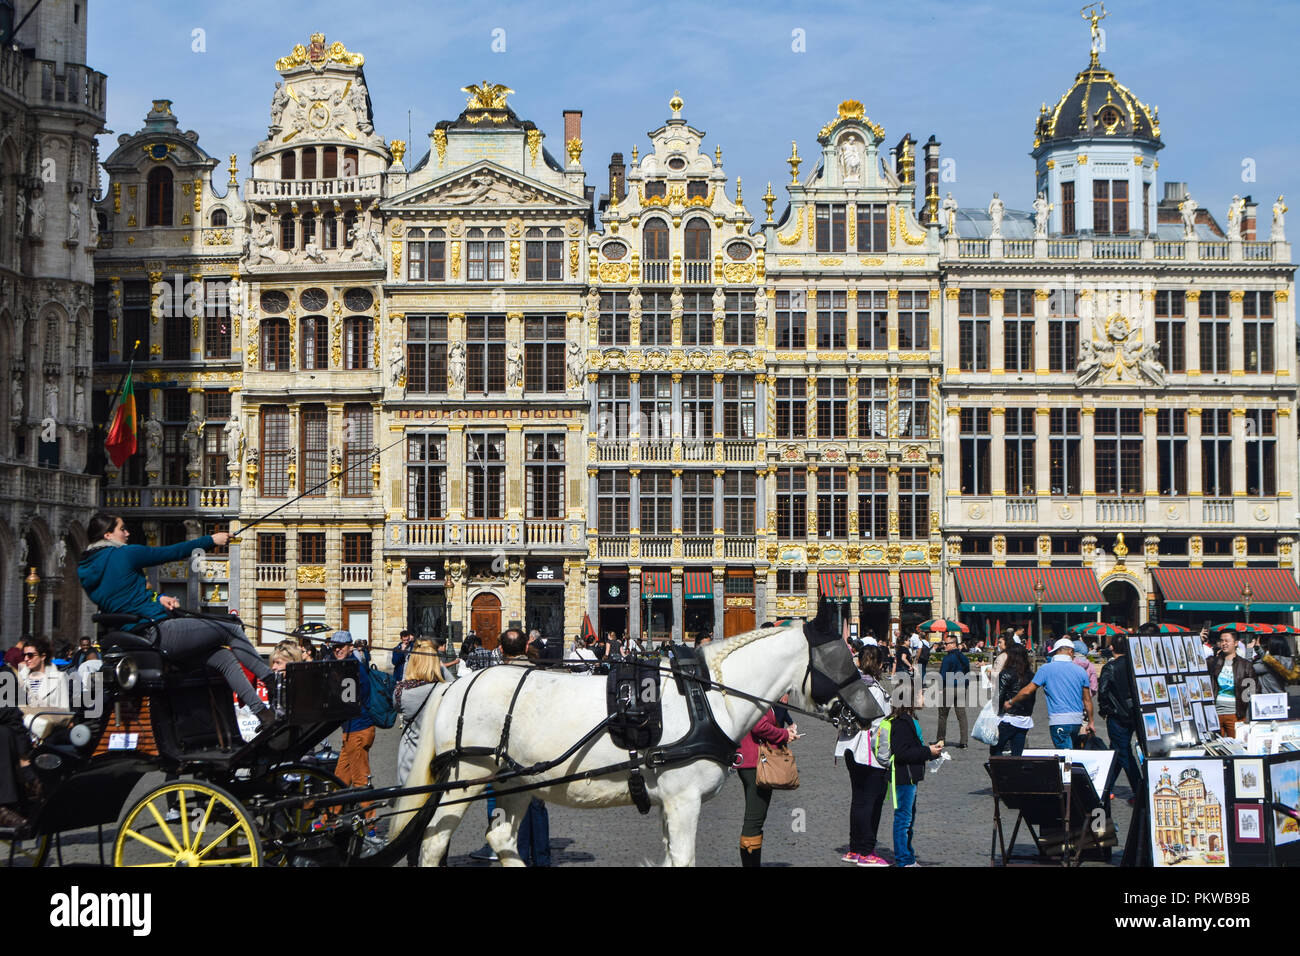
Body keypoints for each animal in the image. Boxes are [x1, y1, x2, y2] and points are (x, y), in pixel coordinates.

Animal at [390, 624, 826, 868]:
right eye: (834, 662)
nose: (852, 712)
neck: (706, 698)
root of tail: (453, 685)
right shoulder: (684, 798)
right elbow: (684, 858)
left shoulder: (670, 801)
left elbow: (672, 857)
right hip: (466, 774)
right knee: (433, 842)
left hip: (515, 779)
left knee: (501, 838)